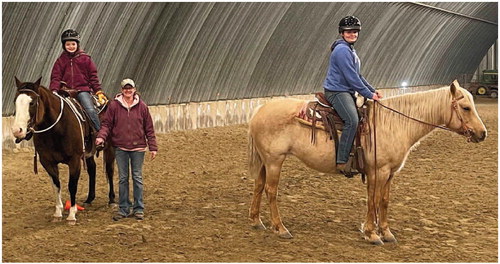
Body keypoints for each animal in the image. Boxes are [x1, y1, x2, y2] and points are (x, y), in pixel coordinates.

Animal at [11, 77, 115, 224]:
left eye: (32, 102)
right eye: (15, 101)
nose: (17, 130)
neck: (56, 128)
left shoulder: (74, 160)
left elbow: (72, 185)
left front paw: (72, 214)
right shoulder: (47, 162)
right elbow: (56, 185)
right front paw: (58, 212)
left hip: (110, 147)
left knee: (110, 171)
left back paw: (112, 200)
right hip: (88, 154)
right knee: (92, 169)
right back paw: (89, 199)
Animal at [248, 80, 486, 245]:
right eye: (466, 107)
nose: (483, 133)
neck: (394, 123)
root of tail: (260, 109)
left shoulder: (389, 173)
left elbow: (383, 200)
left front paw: (386, 232)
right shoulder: (378, 171)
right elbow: (373, 199)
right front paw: (372, 234)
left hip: (265, 161)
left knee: (259, 185)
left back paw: (257, 222)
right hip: (274, 160)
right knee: (271, 190)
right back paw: (280, 228)